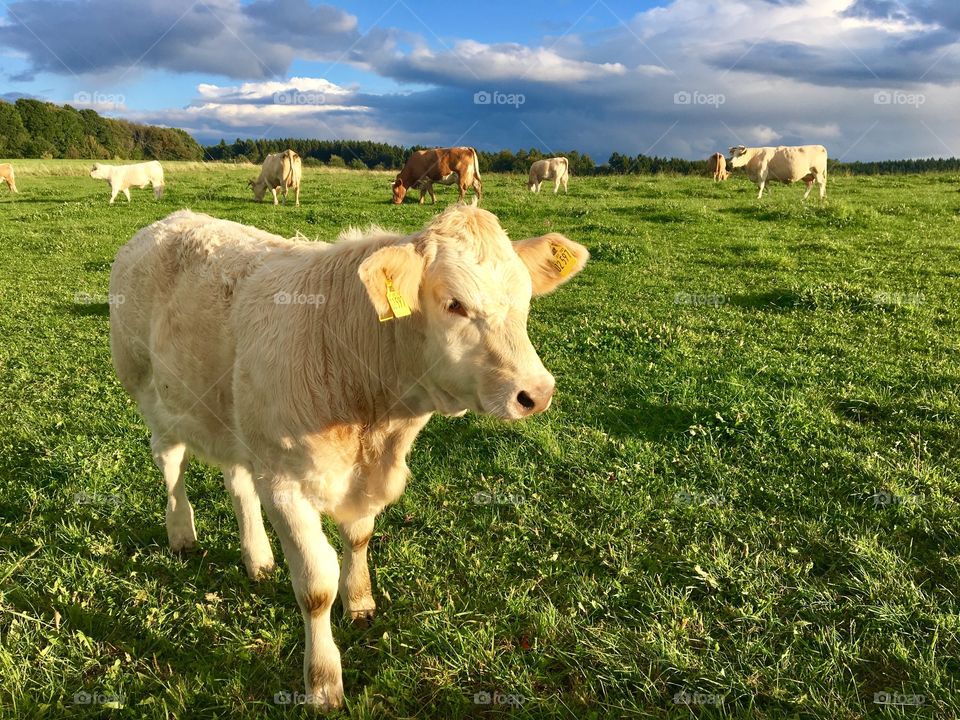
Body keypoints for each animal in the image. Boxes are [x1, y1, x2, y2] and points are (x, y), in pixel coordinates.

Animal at [109, 204, 588, 709]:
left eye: (525, 300)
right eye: (455, 304)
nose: (535, 393)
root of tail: (172, 219)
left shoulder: (359, 476)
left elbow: (358, 538)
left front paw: (358, 601)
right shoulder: (284, 485)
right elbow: (315, 587)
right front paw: (322, 681)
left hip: (234, 417)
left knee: (236, 481)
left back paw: (257, 557)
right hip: (149, 393)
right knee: (171, 465)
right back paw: (182, 533)